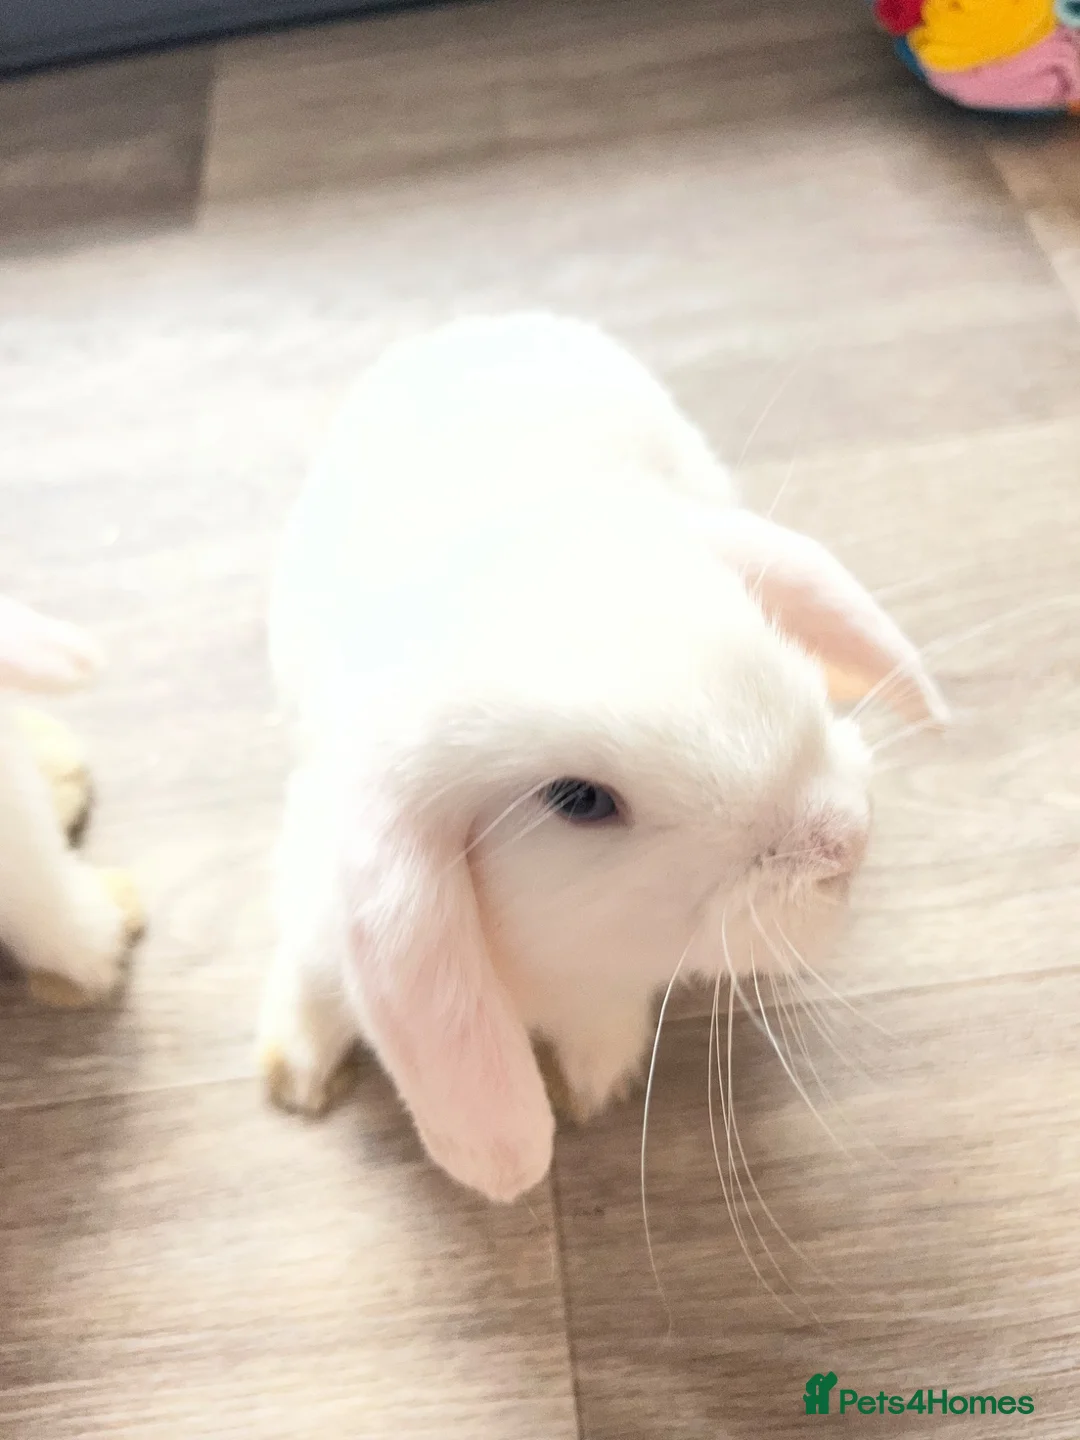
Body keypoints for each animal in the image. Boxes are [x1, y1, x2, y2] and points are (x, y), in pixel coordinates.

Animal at [259, 313, 946, 1204]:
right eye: (579, 801)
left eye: (769, 642)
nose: (845, 842)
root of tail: (484, 323)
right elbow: (311, 990)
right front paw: (295, 1079)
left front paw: (595, 1087)